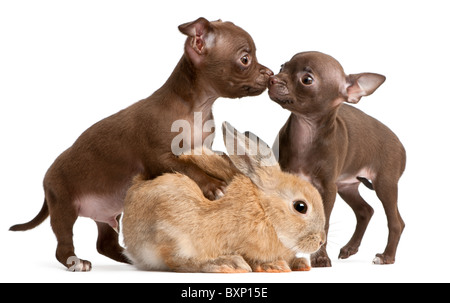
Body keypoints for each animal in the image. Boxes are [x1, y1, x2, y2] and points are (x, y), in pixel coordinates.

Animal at [122, 122, 326, 274]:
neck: (264, 209)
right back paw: (228, 264)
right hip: (173, 230)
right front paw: (272, 265)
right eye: (300, 206)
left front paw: (300, 264)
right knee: (179, 261)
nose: (321, 241)